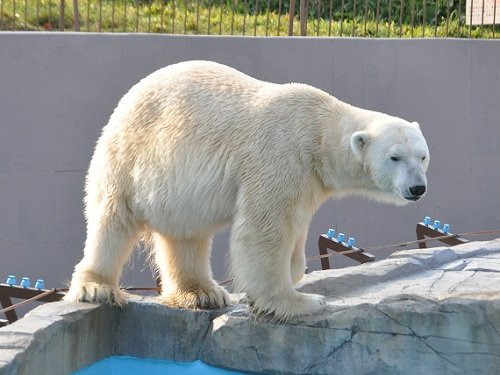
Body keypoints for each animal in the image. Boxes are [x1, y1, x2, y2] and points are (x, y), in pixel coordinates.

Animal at [63, 60, 430, 322]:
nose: (418, 188)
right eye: (395, 157)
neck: (317, 131)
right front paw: (300, 302)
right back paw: (96, 287)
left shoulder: (308, 180)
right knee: (113, 220)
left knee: (186, 234)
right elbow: (264, 230)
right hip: (129, 154)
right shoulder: (281, 157)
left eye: (423, 155)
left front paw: (286, 277)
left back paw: (202, 293)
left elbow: (296, 228)